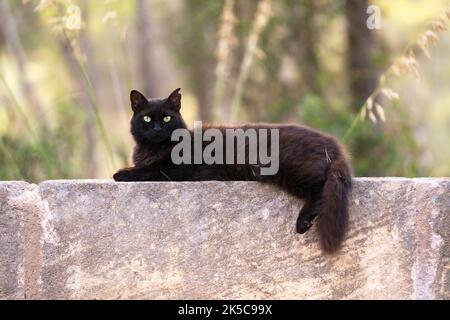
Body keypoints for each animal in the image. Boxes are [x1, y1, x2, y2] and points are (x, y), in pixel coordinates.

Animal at [114, 88, 354, 252]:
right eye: (147, 118)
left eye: (166, 118)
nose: (157, 129)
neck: (155, 148)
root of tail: (334, 144)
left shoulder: (174, 170)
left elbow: (146, 171)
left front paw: (121, 173)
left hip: (293, 170)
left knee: (318, 189)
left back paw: (302, 222)